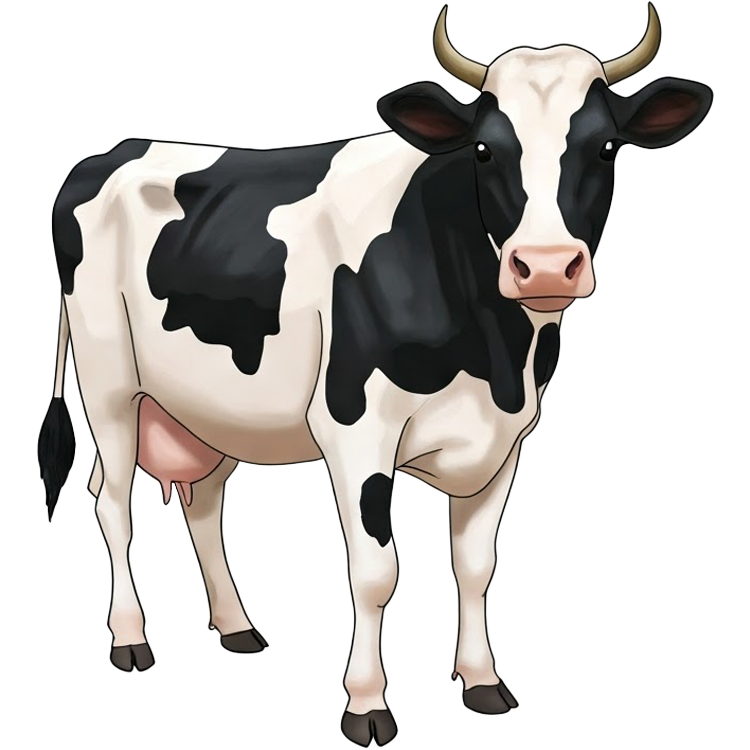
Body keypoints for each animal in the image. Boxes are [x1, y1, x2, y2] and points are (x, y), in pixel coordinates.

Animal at [38, 3, 712, 746]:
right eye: (485, 150)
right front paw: (366, 704)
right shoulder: (357, 429)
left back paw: (238, 627)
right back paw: (130, 639)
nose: (544, 266)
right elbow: (374, 572)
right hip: (108, 379)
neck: (494, 354)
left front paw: (483, 683)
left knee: (206, 500)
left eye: (606, 148)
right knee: (110, 498)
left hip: (212, 403)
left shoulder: (507, 437)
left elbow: (476, 567)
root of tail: (112, 151)